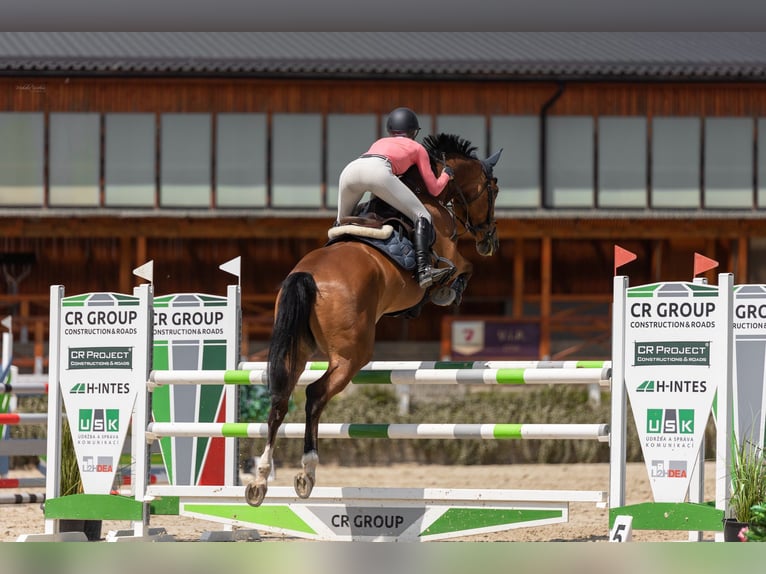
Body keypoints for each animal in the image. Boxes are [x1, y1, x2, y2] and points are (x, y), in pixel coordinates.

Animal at [245, 133, 502, 506]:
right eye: (493, 189)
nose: (489, 240)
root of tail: (307, 276)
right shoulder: (451, 253)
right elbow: (463, 270)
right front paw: (445, 291)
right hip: (352, 355)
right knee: (315, 395)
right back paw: (307, 472)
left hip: (298, 348)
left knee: (280, 399)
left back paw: (260, 481)